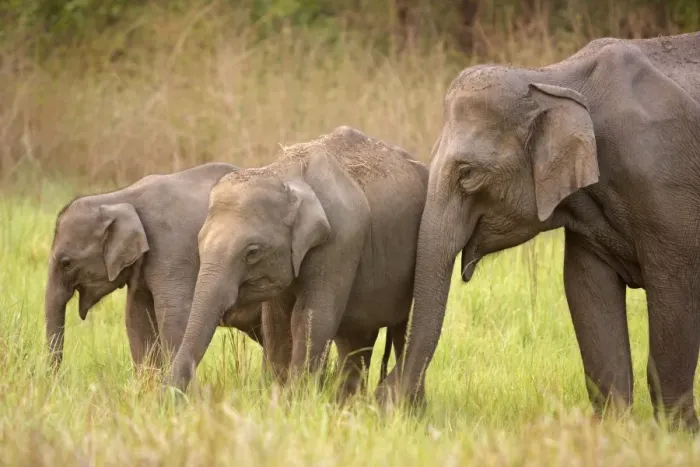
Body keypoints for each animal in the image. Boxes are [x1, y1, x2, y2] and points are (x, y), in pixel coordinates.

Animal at [45, 162, 265, 372]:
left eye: (66, 263)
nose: (55, 378)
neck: (120, 197)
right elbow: (136, 317)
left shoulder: (172, 251)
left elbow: (174, 314)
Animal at [166, 126, 429, 399]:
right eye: (200, 242)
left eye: (252, 252)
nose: (171, 396)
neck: (287, 175)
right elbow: (276, 321)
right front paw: (278, 396)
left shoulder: (341, 239)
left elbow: (311, 316)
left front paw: (295, 399)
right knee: (356, 339)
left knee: (399, 331)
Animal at [376, 32, 700, 429]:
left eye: (467, 174)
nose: (391, 395)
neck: (550, 79)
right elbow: (586, 292)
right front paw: (614, 431)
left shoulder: (669, 188)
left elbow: (674, 294)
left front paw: (676, 434)